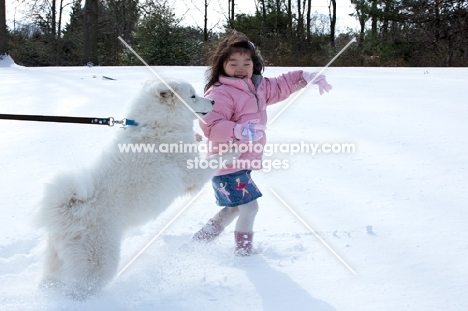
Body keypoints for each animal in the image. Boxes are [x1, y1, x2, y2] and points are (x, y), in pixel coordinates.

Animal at [35, 79, 233, 302]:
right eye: (192, 96)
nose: (213, 101)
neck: (158, 125)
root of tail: (67, 211)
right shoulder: (193, 174)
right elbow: (216, 158)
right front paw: (237, 147)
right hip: (99, 262)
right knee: (81, 291)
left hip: (57, 260)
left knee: (50, 281)